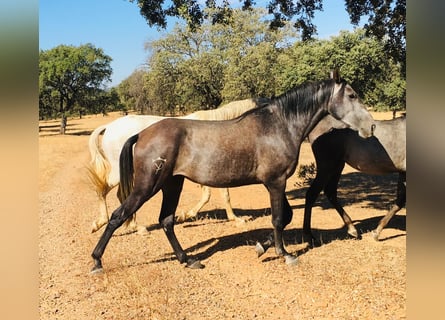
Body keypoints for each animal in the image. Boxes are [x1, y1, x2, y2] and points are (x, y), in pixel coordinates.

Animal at [86, 97, 268, 232]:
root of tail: (109, 126)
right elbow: (223, 195)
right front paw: (236, 219)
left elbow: (208, 195)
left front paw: (186, 215)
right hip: (121, 172)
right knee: (103, 189)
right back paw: (105, 223)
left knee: (119, 194)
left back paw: (133, 225)